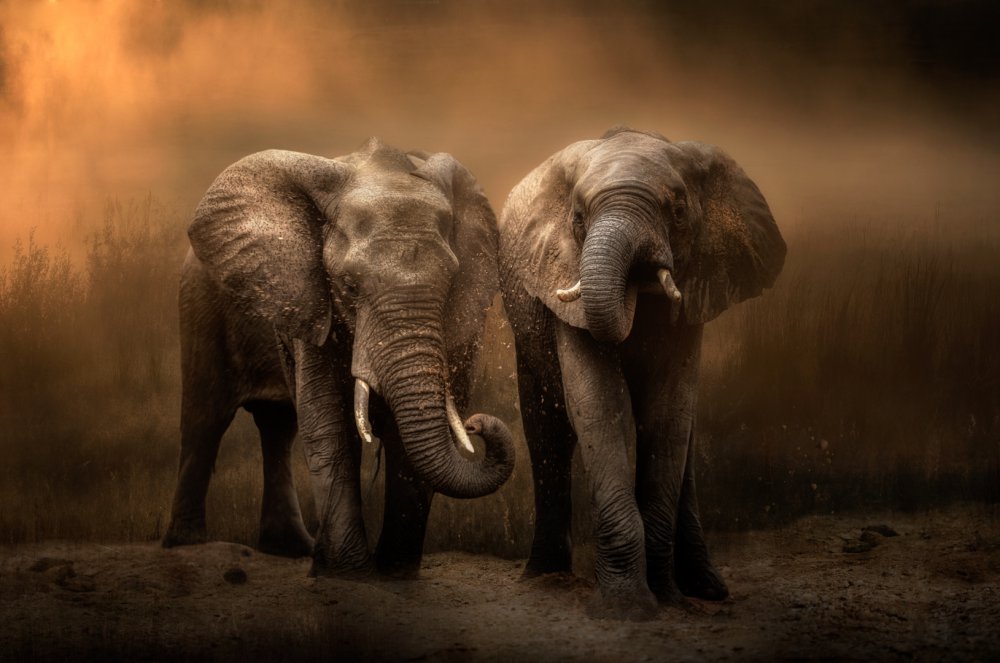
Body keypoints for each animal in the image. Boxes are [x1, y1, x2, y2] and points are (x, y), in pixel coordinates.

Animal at [163, 138, 515, 578]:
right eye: (348, 286)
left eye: (451, 282)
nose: (477, 426)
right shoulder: (311, 299)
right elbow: (329, 425)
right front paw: (350, 575)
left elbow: (406, 445)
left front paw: (395, 574)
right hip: (200, 304)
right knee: (205, 418)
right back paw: (189, 546)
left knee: (277, 426)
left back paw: (292, 549)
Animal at [498, 127, 785, 619]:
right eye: (578, 218)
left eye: (679, 211)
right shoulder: (563, 279)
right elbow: (599, 403)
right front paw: (626, 608)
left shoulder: (696, 291)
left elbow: (667, 411)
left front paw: (666, 599)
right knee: (548, 430)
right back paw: (542, 579)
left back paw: (706, 589)